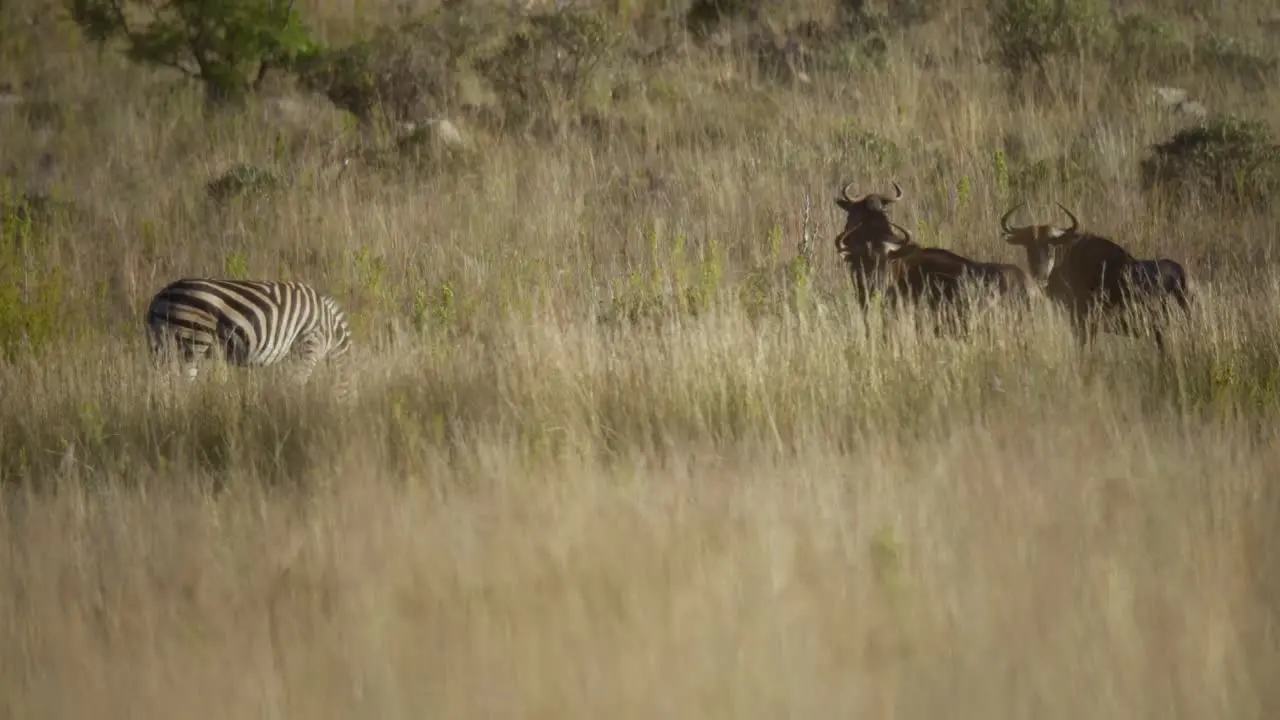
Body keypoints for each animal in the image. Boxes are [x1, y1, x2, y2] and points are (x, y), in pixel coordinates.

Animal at [145, 275, 355, 397]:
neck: (330, 333)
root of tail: (158, 298)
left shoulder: (290, 354)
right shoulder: (308, 347)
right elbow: (297, 382)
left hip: (163, 347)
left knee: (163, 384)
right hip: (191, 341)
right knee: (181, 386)